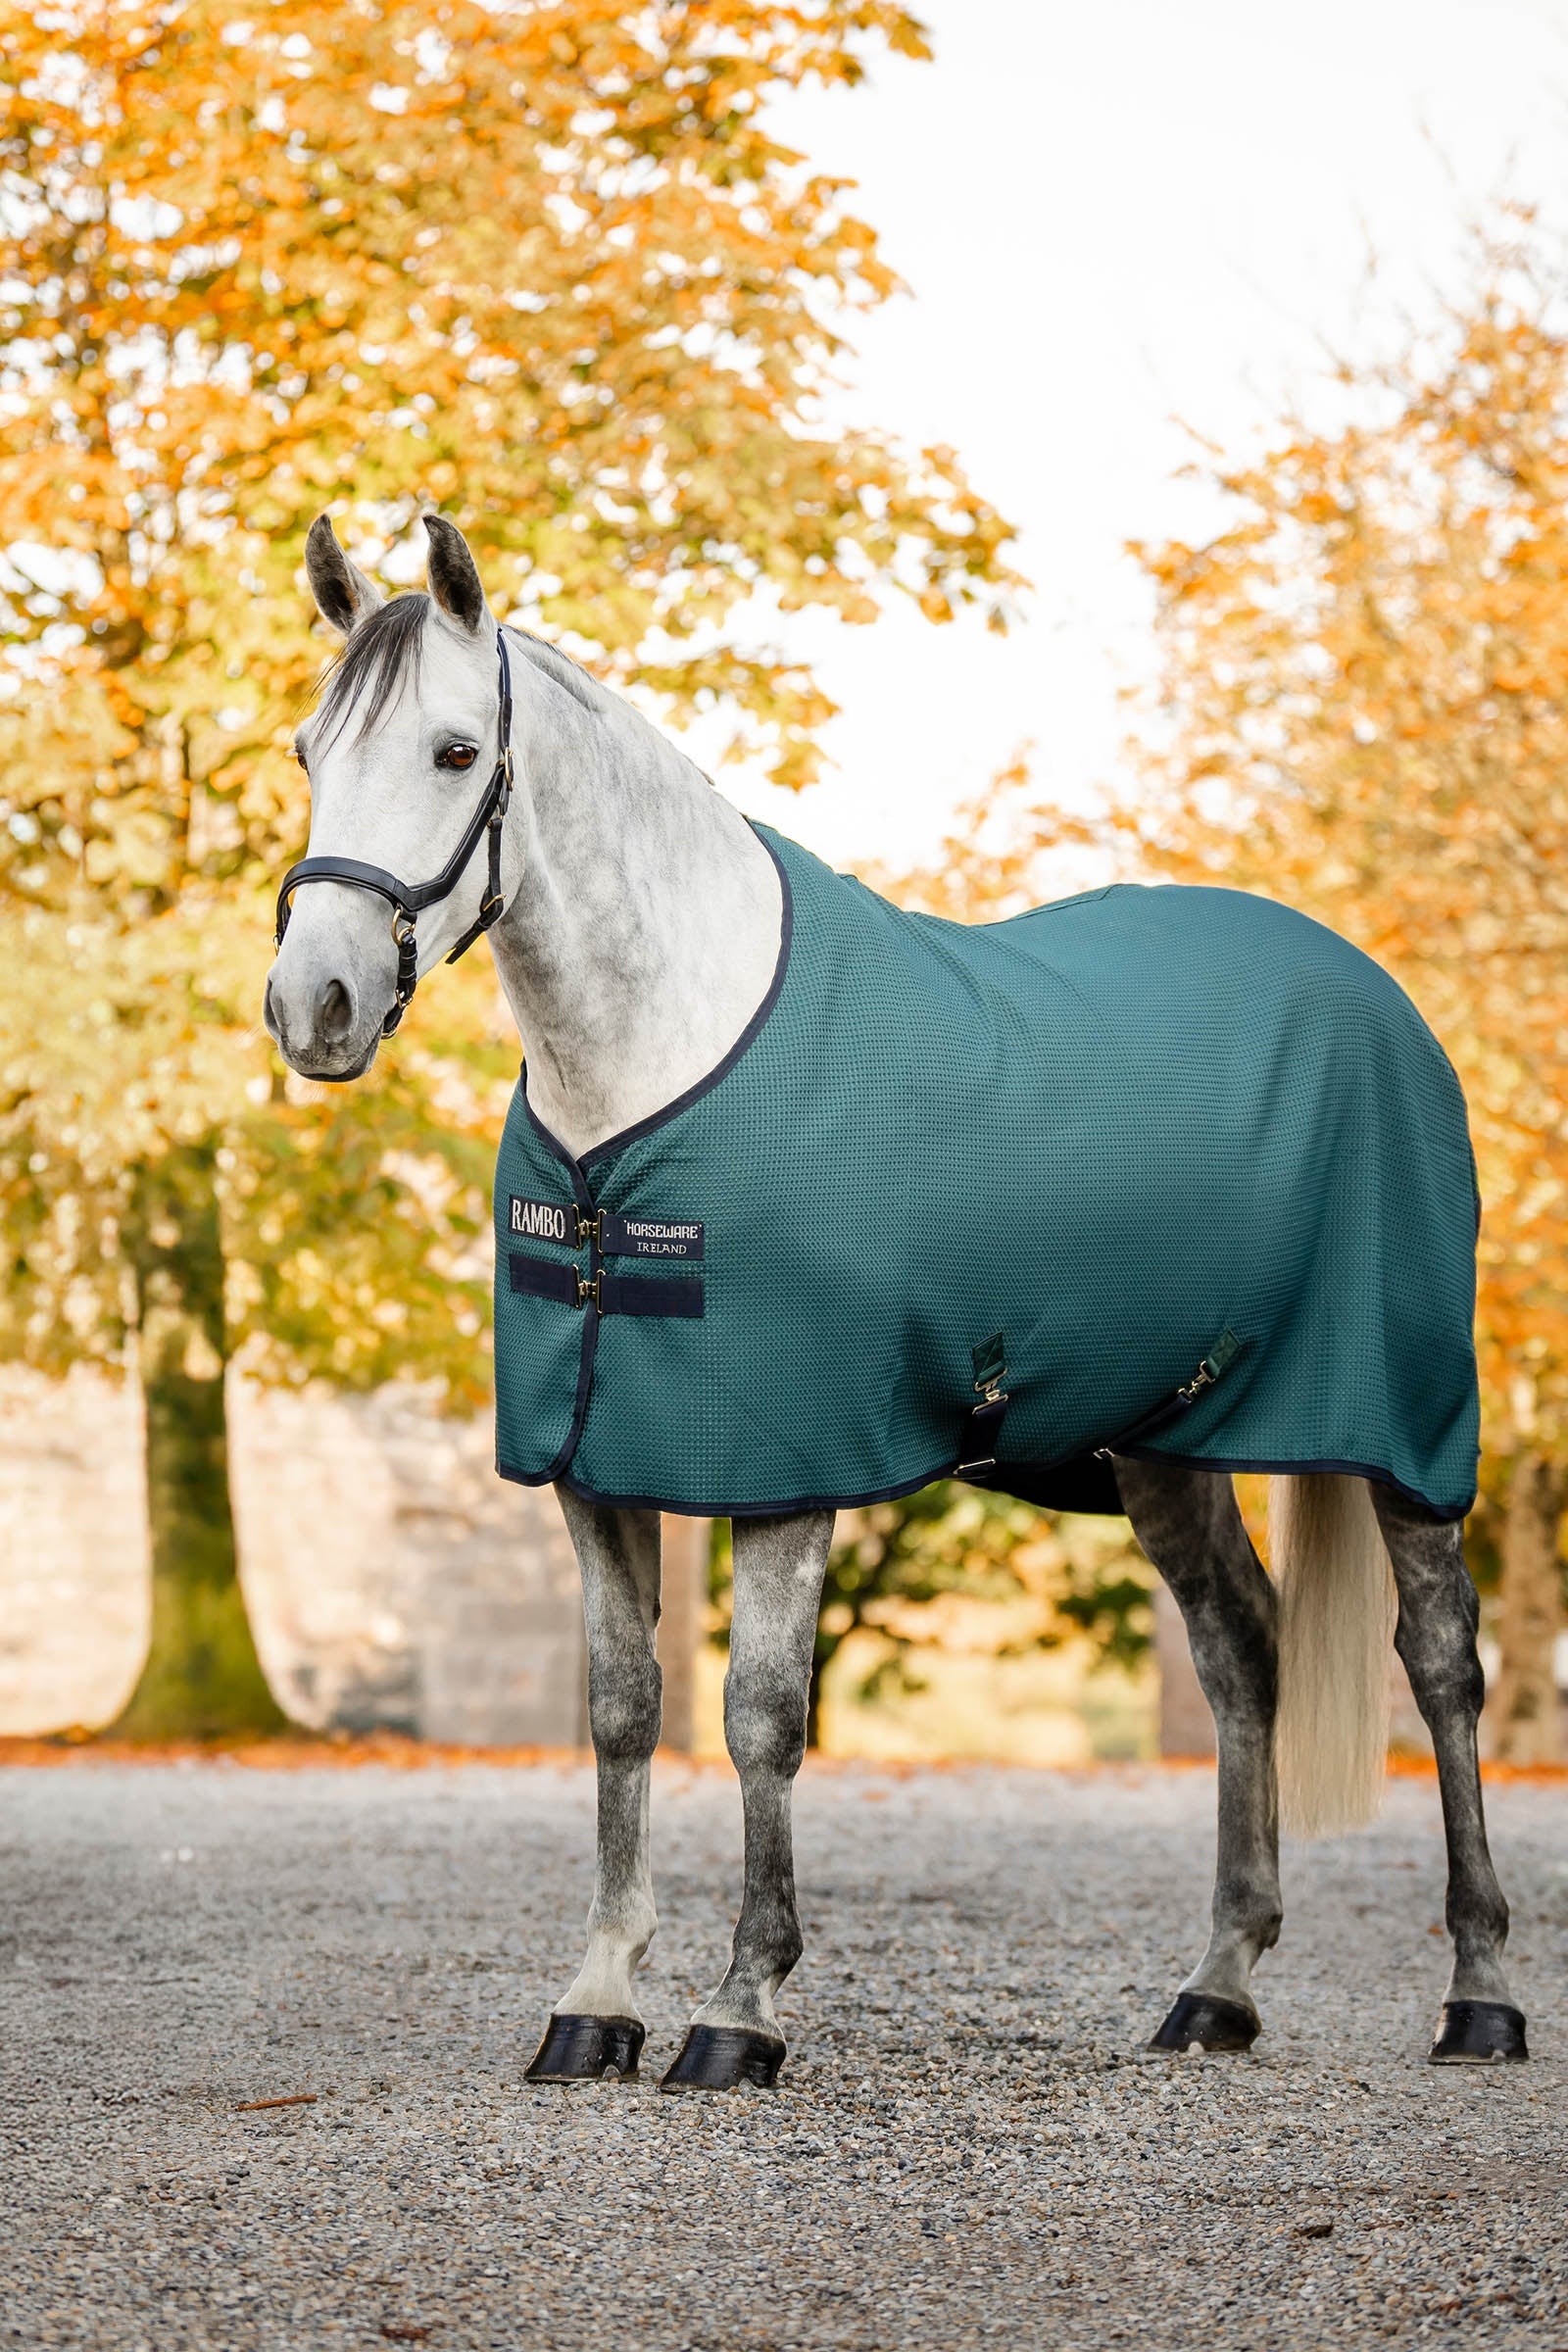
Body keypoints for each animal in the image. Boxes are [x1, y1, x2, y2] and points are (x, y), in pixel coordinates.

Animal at [264, 511, 1526, 2091]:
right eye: (310, 751)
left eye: (450, 751)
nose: (314, 1004)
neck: (653, 1074)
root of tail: (1376, 995)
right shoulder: (594, 1460)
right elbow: (621, 1714)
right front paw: (598, 2000)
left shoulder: (787, 1460)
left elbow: (759, 1719)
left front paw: (741, 2009)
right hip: (1165, 1440)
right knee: (1241, 1652)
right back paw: (1217, 1988)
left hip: (1406, 1431)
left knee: (1443, 1664)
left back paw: (1479, 1991)